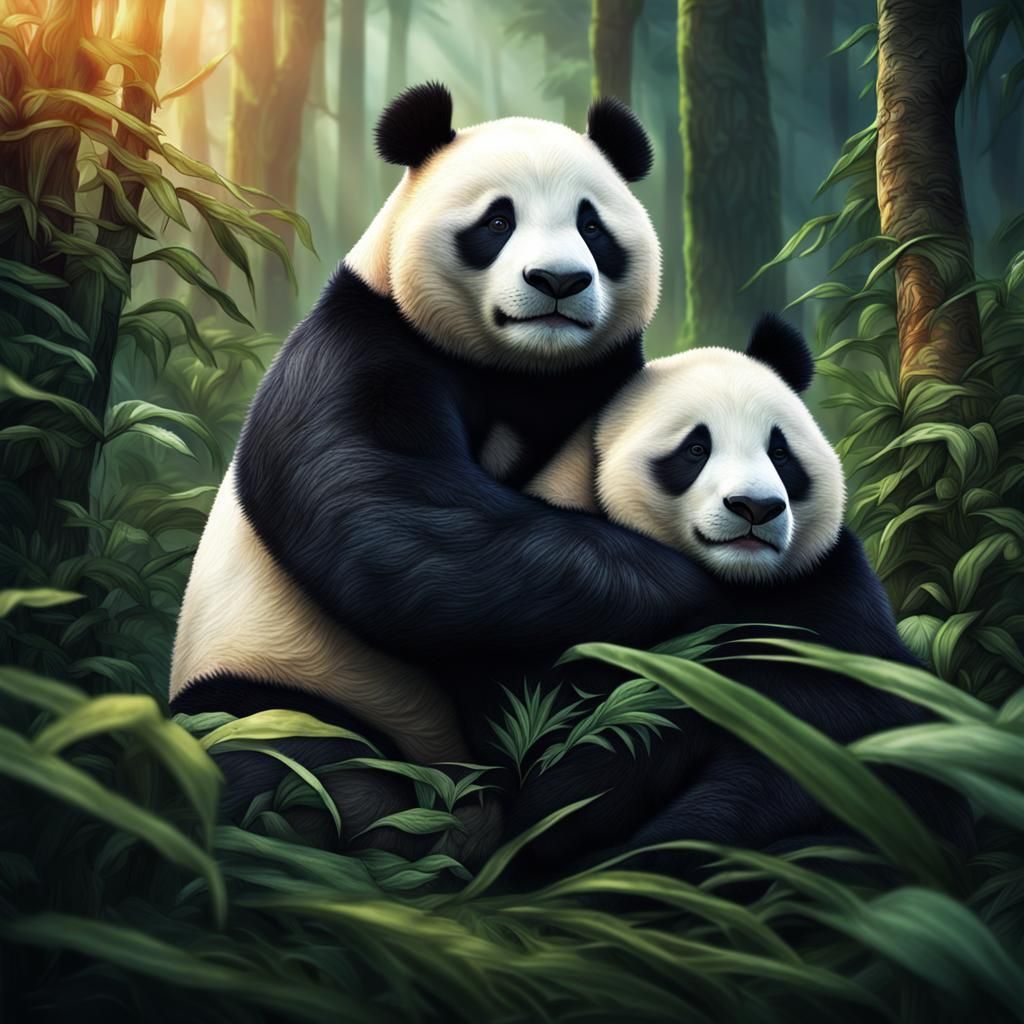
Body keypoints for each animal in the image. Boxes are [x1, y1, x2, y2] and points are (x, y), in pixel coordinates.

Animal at [169, 83, 729, 853]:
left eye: (592, 226)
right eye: (497, 220)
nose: (558, 280)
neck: (520, 370)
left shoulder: (602, 389)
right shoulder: (362, 348)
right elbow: (393, 524)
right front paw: (690, 584)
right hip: (285, 674)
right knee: (288, 759)